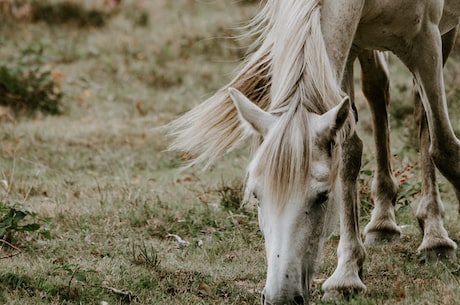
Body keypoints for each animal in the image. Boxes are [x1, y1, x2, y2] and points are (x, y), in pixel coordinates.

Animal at [168, 0, 460, 302]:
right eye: (256, 195)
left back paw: (434, 234)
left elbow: (444, 148)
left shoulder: (426, 40)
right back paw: (382, 223)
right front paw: (346, 276)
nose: (280, 298)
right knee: (378, 90)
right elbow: (348, 155)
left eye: (322, 197)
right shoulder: (348, 48)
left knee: (421, 114)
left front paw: (437, 241)